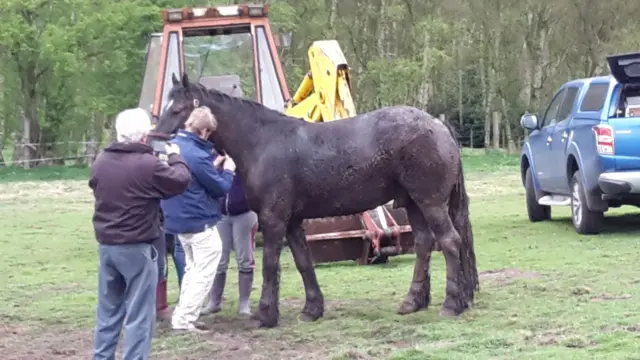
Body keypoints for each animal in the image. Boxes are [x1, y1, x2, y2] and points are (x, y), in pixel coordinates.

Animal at [152, 73, 478, 330]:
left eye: (178, 108)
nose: (156, 139)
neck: (262, 142)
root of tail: (439, 126)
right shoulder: (293, 221)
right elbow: (303, 262)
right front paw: (312, 309)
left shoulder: (273, 218)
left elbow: (270, 264)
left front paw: (265, 315)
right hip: (413, 204)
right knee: (424, 245)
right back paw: (413, 302)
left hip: (430, 203)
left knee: (450, 242)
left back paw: (451, 304)